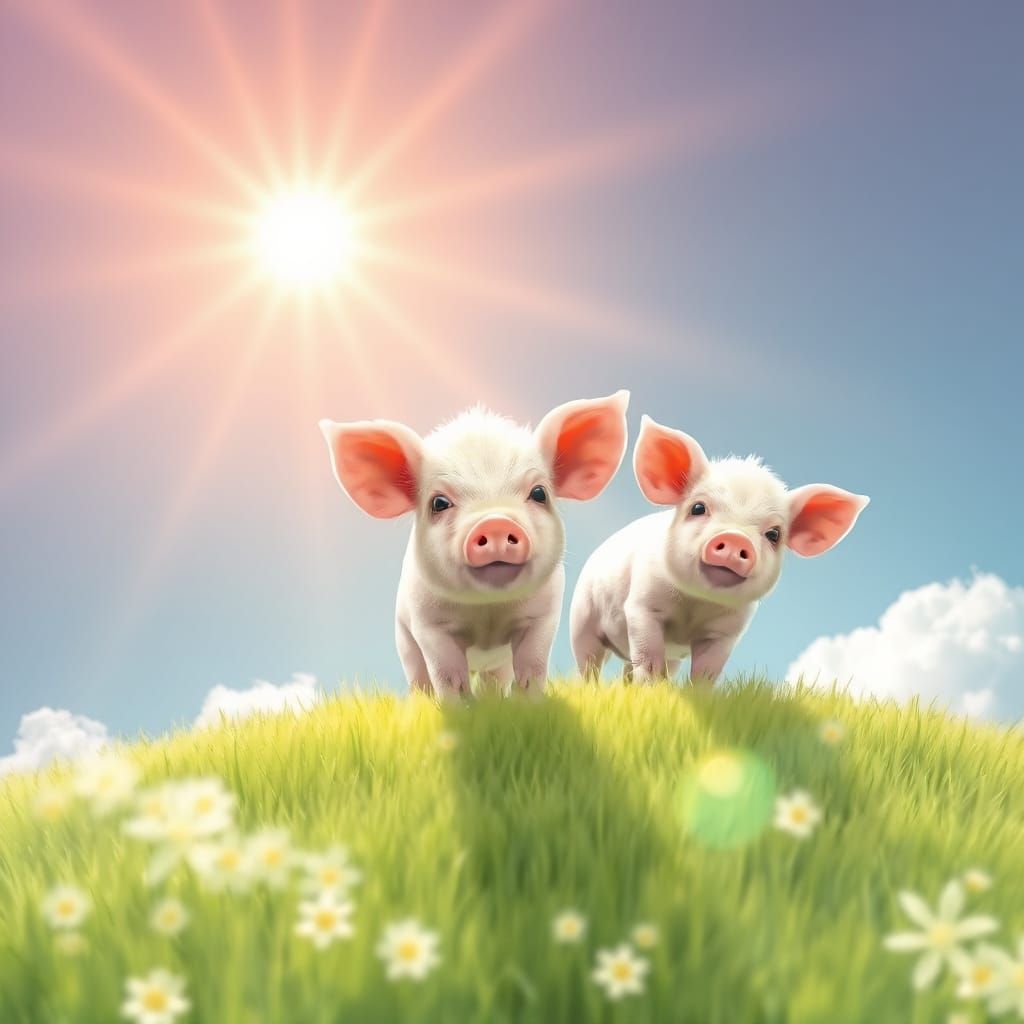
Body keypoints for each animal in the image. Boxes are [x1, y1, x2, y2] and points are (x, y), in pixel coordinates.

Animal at [319, 391, 630, 699]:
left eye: (539, 493)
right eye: (439, 503)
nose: (495, 522)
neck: (487, 613)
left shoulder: (544, 615)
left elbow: (532, 668)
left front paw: (527, 705)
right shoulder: (428, 624)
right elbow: (447, 676)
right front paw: (459, 707)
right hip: (404, 639)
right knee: (419, 677)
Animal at [569, 415, 869, 684]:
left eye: (774, 534)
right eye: (698, 508)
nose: (736, 538)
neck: (695, 607)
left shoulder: (726, 633)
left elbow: (705, 674)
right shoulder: (642, 605)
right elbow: (648, 659)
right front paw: (649, 689)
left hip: (669, 656)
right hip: (582, 618)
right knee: (589, 664)